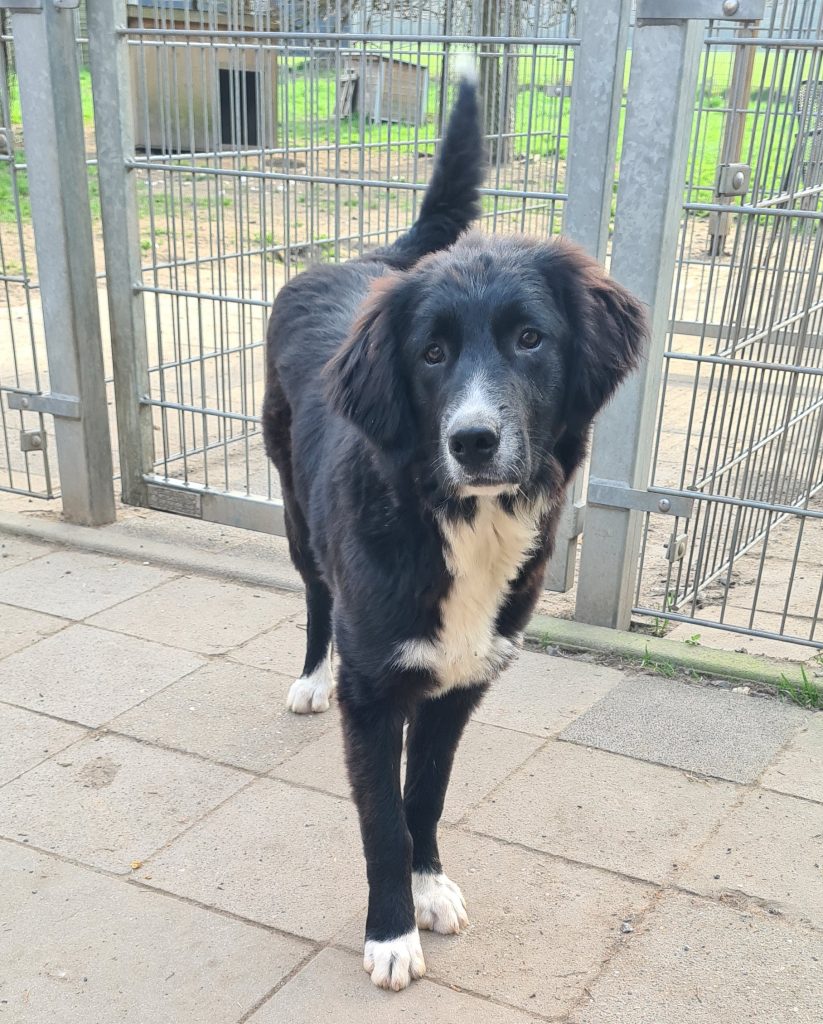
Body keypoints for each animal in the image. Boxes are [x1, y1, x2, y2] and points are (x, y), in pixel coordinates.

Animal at [263, 70, 647, 991]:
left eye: (530, 338)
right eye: (430, 354)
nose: (473, 440)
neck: (455, 521)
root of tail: (362, 261)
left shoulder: (461, 682)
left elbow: (423, 797)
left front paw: (428, 887)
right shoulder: (373, 693)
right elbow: (379, 820)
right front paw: (389, 932)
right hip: (296, 521)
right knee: (315, 599)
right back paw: (308, 677)